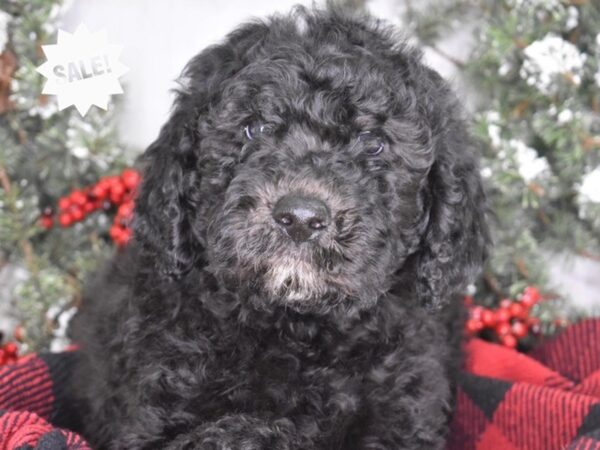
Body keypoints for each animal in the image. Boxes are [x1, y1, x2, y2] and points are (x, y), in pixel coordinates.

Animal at [71, 5, 488, 448]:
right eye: (254, 129)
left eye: (373, 144)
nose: (301, 218)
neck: (297, 328)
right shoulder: (151, 413)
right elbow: (241, 432)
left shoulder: (404, 413)